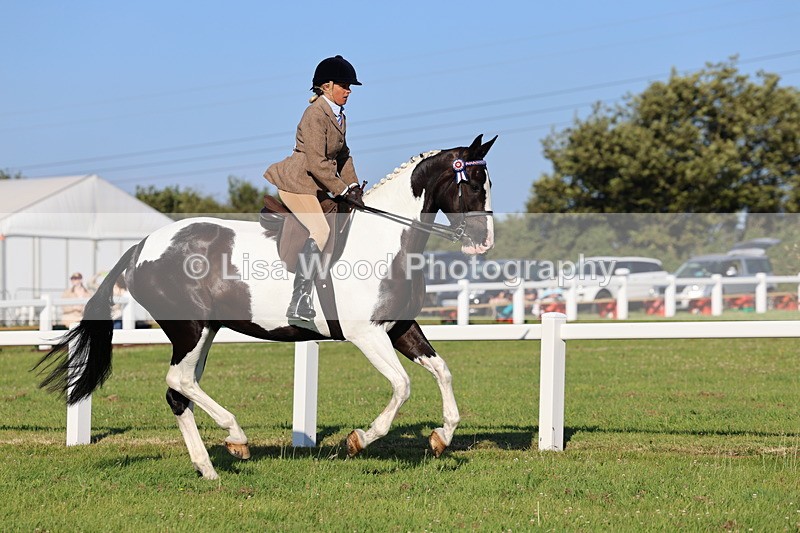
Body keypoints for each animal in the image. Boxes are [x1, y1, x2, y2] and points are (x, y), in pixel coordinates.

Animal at [36, 134, 497, 480]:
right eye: (474, 184)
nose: (484, 242)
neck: (386, 239)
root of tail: (139, 248)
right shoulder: (365, 334)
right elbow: (402, 386)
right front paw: (359, 440)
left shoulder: (399, 326)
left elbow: (442, 371)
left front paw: (442, 437)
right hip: (189, 328)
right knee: (179, 380)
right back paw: (236, 437)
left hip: (204, 331)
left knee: (179, 391)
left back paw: (209, 467)